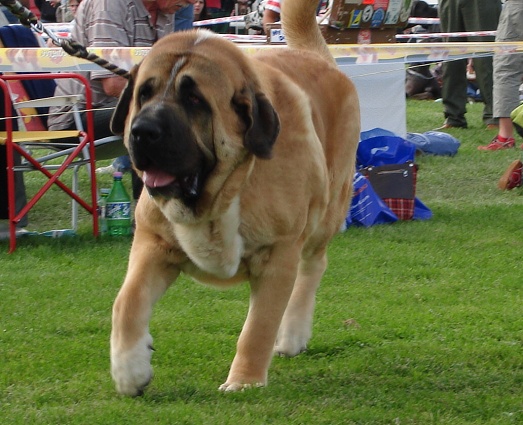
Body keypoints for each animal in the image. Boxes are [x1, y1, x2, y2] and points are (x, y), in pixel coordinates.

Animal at [109, 0, 360, 394]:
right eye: (144, 94)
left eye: (194, 99)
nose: (143, 131)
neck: (221, 194)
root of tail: (314, 56)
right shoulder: (153, 243)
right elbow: (127, 302)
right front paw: (129, 371)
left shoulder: (278, 253)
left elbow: (257, 327)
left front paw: (244, 382)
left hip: (326, 213)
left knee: (313, 266)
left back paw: (292, 334)